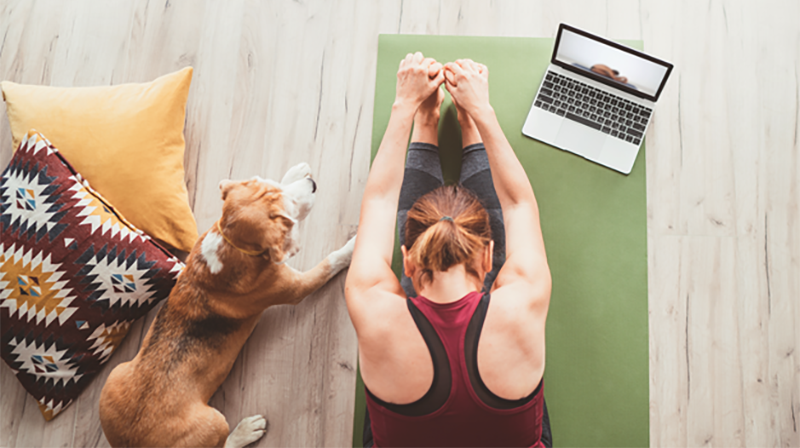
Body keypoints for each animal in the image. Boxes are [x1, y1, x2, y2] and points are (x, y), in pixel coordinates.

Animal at [98, 164, 354, 448]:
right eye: (288, 214)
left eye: (273, 186)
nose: (313, 184)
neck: (230, 241)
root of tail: (130, 441)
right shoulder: (298, 287)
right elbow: (331, 261)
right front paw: (354, 247)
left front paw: (296, 172)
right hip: (215, 423)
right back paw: (246, 430)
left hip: (114, 377)